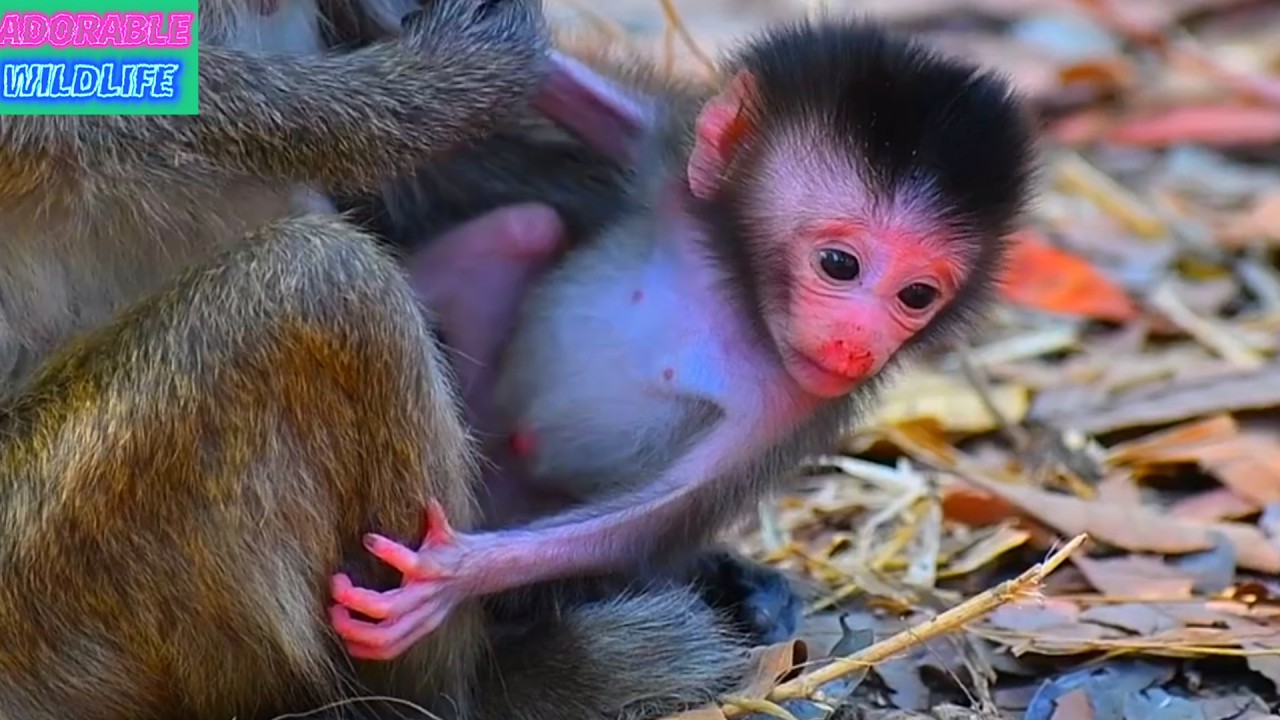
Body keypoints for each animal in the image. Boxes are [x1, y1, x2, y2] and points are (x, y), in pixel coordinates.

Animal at [327, 17, 1039, 661]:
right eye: (840, 264)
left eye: (916, 296)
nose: (858, 343)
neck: (735, 302)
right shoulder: (675, 176)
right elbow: (600, 113)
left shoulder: (793, 403)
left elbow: (650, 521)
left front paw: (454, 575)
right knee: (522, 230)